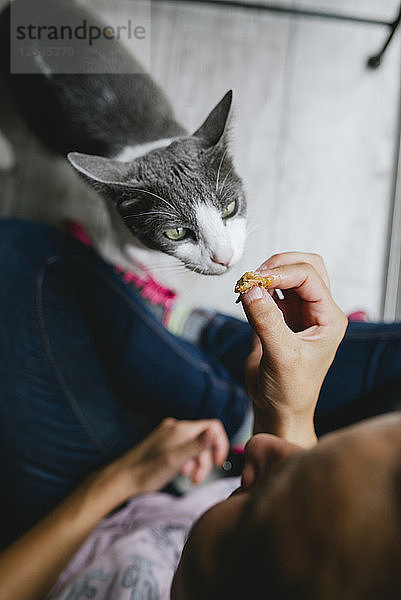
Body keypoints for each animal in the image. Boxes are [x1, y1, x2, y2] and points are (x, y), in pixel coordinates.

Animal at [0, 0, 245, 276]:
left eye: (230, 207)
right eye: (176, 232)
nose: (224, 257)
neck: (146, 143)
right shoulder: (117, 220)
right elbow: (129, 249)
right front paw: (141, 264)